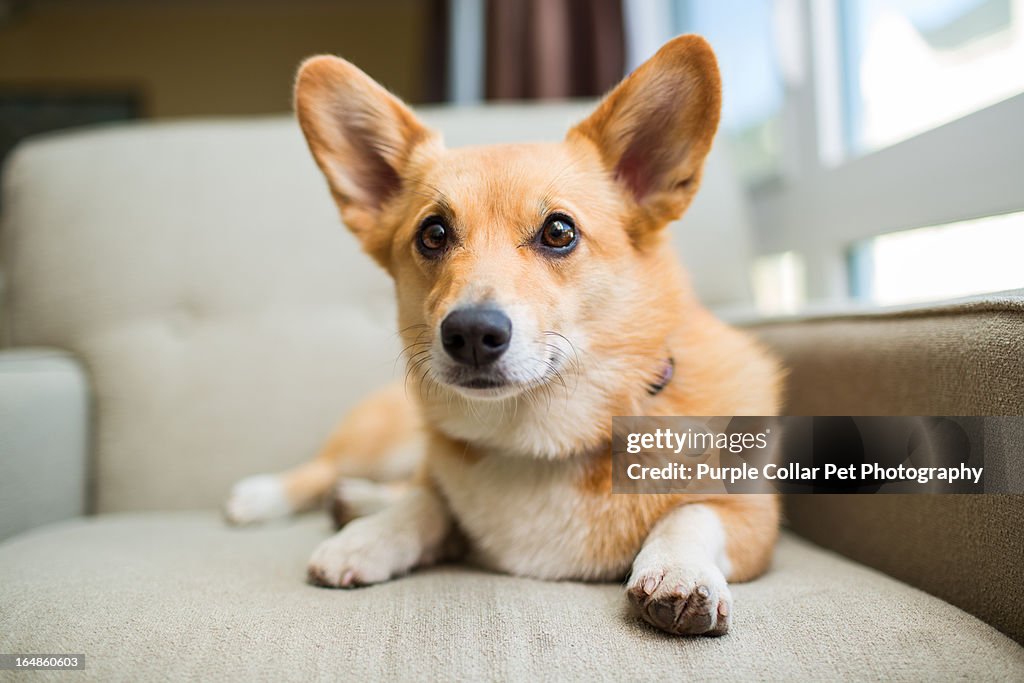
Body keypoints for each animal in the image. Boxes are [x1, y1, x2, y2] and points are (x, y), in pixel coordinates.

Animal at [226, 36, 782, 634]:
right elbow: (427, 502)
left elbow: (693, 513)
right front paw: (368, 539)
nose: (470, 332)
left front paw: (681, 572)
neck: (536, 439)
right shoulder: (439, 485)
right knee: (333, 469)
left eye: (559, 231)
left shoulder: (757, 525)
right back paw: (274, 497)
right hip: (384, 442)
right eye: (433, 233)